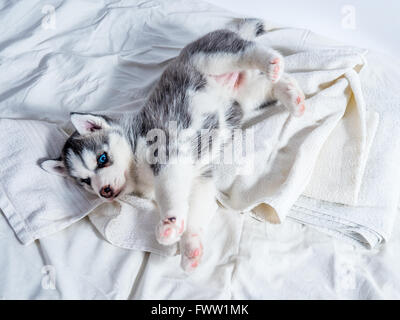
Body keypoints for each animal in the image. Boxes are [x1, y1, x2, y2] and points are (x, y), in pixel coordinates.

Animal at [40, 18, 304, 272]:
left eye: (102, 159)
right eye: (85, 182)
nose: (103, 192)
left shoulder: (167, 156)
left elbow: (169, 193)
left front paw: (169, 223)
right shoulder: (200, 178)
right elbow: (195, 208)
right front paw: (191, 248)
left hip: (212, 57)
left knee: (247, 51)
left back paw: (271, 61)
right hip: (247, 96)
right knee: (271, 85)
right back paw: (293, 97)